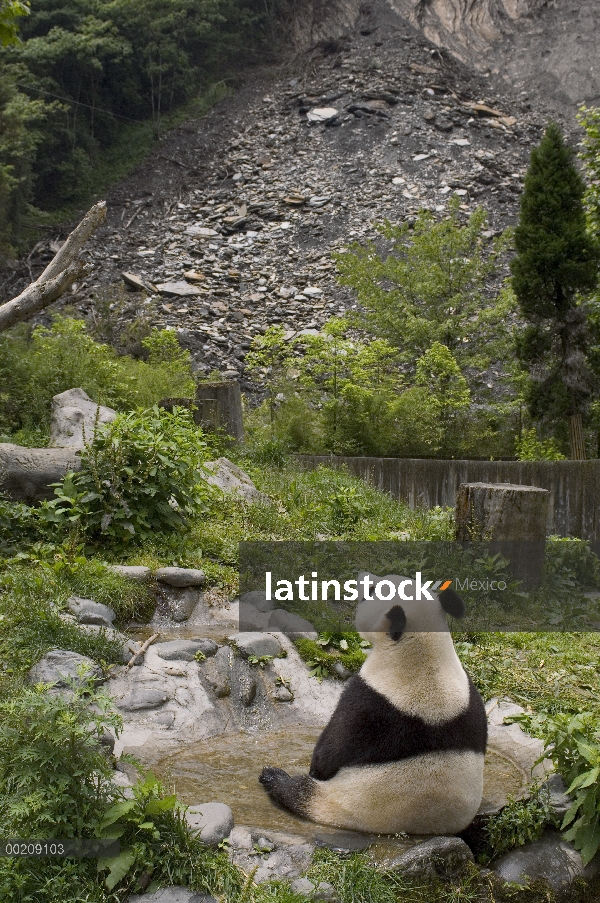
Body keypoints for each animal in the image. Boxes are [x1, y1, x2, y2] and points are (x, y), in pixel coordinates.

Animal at [258, 576, 488, 836]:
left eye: (371, 591)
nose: (361, 578)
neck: (425, 660)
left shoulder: (370, 701)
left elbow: (332, 750)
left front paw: (315, 765)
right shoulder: (472, 699)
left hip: (344, 801)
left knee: (300, 792)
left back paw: (274, 777)